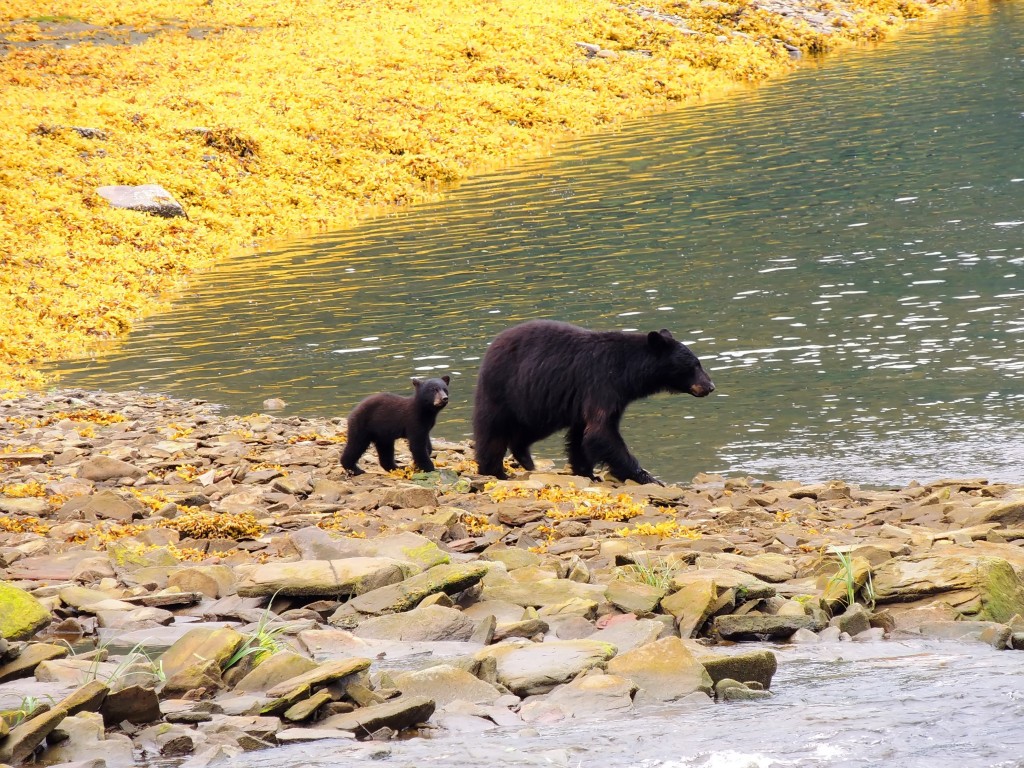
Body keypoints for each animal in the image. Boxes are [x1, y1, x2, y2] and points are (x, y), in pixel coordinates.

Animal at [475, 321, 716, 483]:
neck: (627, 370)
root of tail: (491, 347)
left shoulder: (593, 397)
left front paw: (586, 472)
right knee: (493, 432)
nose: (710, 386)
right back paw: (494, 471)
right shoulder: (602, 384)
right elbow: (601, 432)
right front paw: (647, 476)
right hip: (505, 390)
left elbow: (581, 435)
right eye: (694, 365)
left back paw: (524, 457)